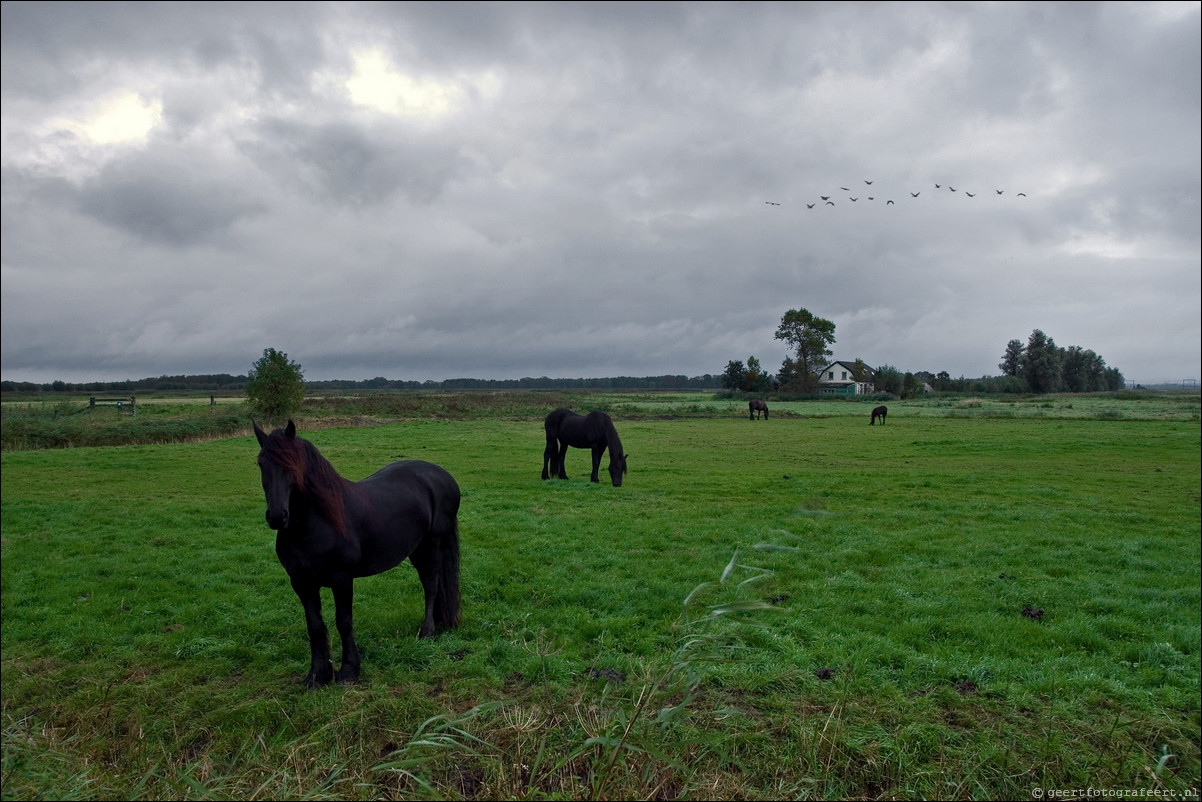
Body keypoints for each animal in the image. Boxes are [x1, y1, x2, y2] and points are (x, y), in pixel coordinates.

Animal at [253, 420, 459, 692]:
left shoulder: (342, 578)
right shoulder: (301, 582)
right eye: (260, 463)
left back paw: (427, 632)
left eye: (293, 465)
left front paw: (349, 671)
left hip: (434, 544)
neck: (318, 521)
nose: (277, 516)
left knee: (431, 585)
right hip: (417, 548)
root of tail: (444, 476)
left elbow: (344, 621)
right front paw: (317, 675)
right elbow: (315, 625)